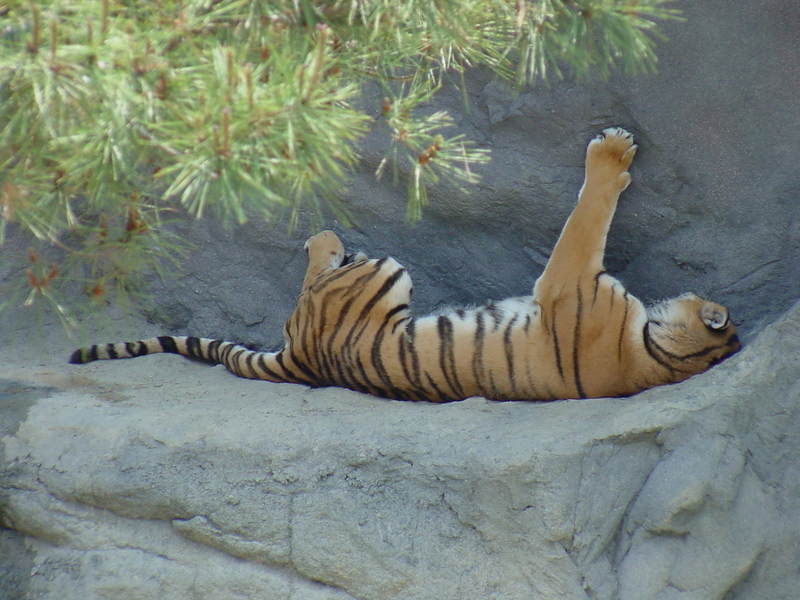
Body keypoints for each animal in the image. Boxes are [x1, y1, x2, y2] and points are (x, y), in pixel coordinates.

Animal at [72, 129, 740, 404]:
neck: (654, 357)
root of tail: (301, 358)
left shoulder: (567, 279)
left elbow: (586, 216)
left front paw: (612, 155)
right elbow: (589, 217)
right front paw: (617, 154)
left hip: (381, 271)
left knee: (318, 273)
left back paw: (320, 229)